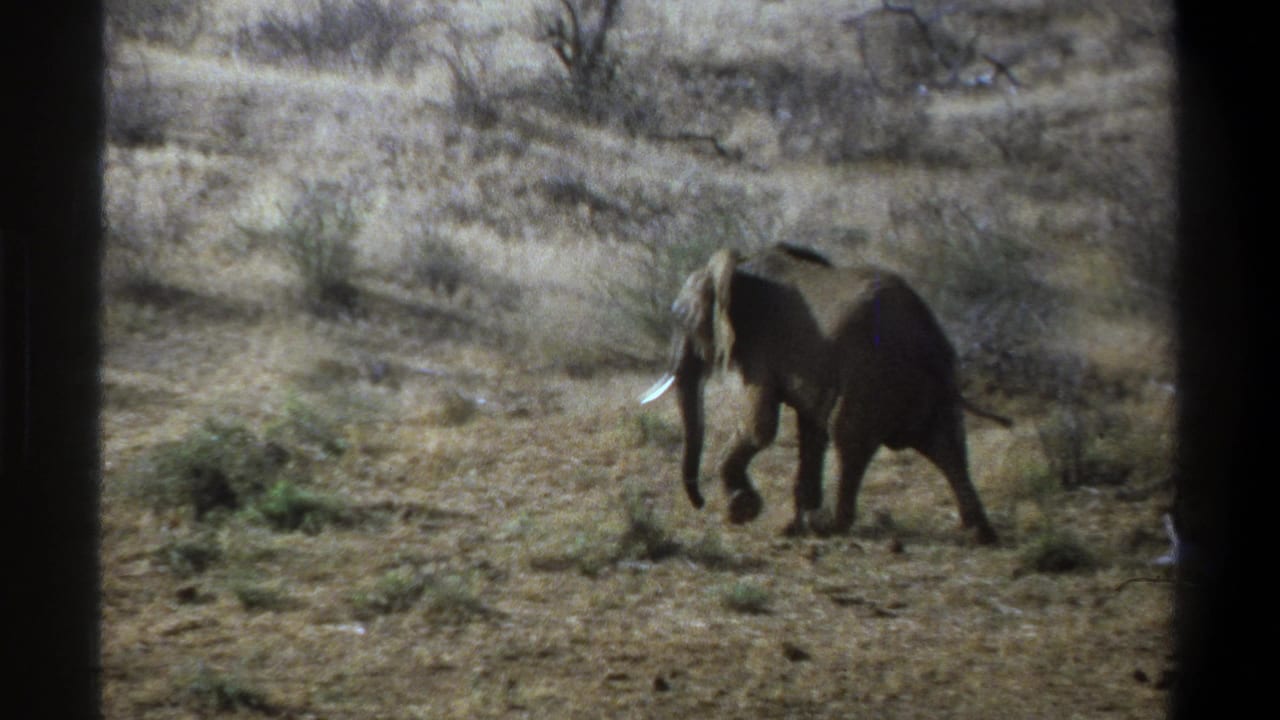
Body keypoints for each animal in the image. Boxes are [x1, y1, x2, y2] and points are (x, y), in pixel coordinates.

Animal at [639, 243, 1011, 544]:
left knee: (849, 436)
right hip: (929, 384)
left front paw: (742, 510)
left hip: (871, 376)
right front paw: (784, 523)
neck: (741, 264)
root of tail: (926, 336)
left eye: (680, 319)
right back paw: (979, 533)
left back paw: (826, 525)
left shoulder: (761, 347)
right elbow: (809, 431)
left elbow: (761, 426)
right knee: (948, 445)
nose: (700, 503)